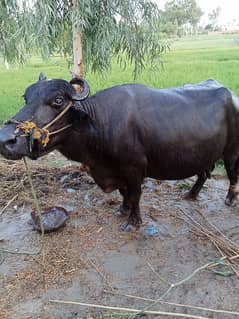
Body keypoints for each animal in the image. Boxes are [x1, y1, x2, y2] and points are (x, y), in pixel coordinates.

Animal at [0, 77, 239, 232]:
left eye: (58, 100)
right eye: (26, 97)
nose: (5, 140)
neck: (100, 124)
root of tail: (232, 95)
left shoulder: (134, 169)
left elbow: (135, 195)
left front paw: (133, 222)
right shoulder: (117, 171)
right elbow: (124, 194)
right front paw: (122, 210)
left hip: (231, 152)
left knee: (232, 173)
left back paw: (230, 199)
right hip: (204, 152)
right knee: (204, 173)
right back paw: (191, 194)